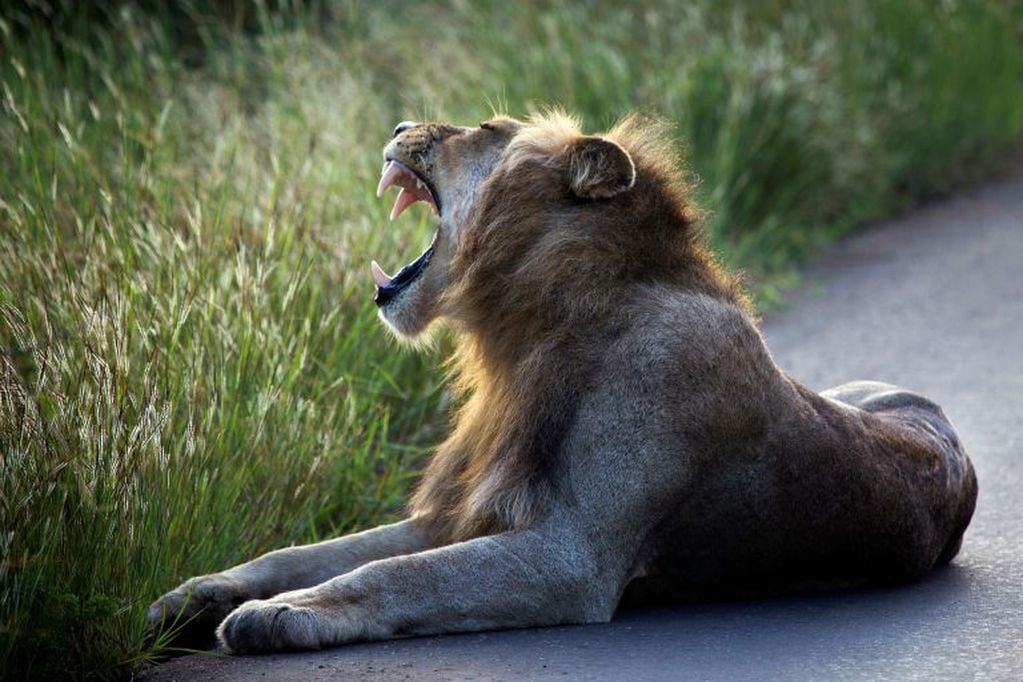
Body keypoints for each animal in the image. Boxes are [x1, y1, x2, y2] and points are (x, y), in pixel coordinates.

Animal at [148, 113, 977, 654]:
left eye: (483, 129)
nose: (400, 122)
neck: (526, 334)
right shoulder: (463, 511)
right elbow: (313, 550)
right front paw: (196, 594)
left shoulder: (568, 556)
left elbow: (394, 575)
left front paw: (279, 614)